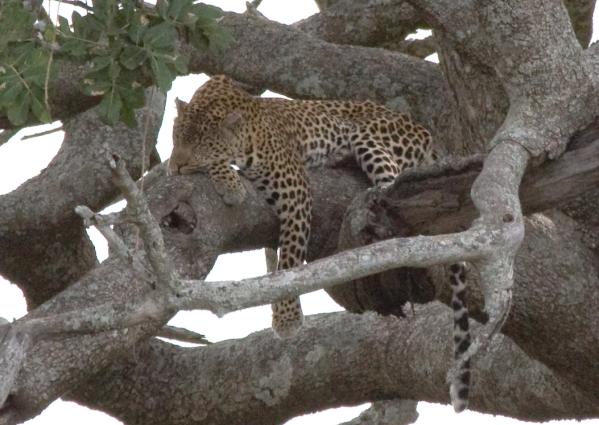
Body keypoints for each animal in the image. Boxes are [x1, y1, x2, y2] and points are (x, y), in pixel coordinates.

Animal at [169, 75, 474, 410]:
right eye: (176, 138)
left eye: (203, 144)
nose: (178, 166)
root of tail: (425, 134)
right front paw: (225, 179)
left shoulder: (295, 188)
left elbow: (290, 258)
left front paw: (287, 318)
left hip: (371, 141)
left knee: (393, 187)